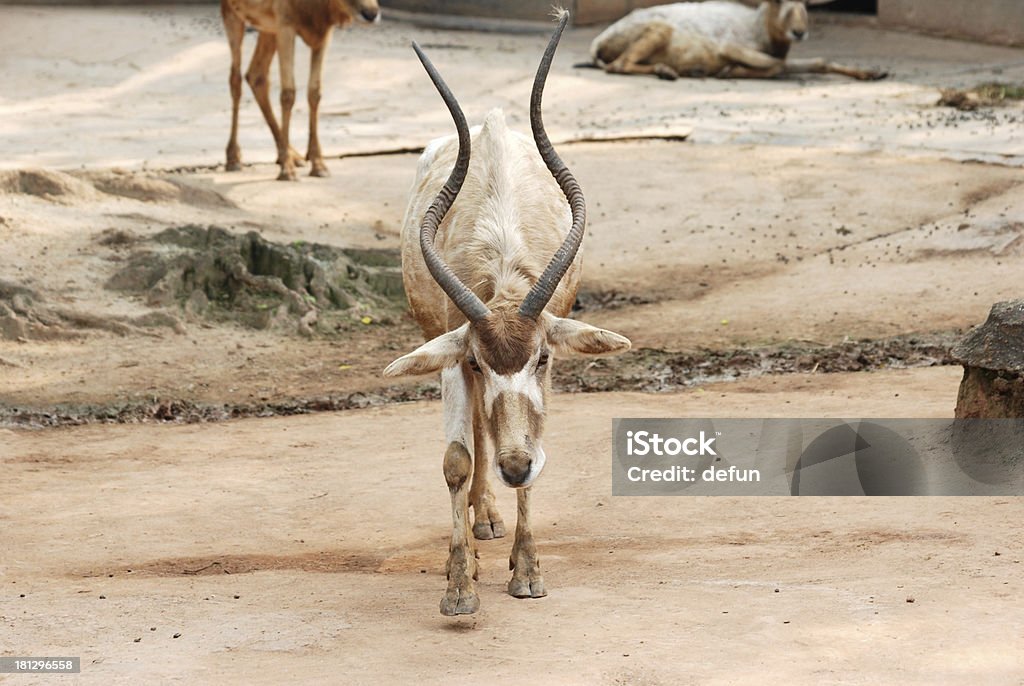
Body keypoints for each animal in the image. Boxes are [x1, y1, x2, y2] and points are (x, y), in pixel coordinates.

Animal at [222, 0, 382, 180]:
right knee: (236, 79)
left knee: (256, 75)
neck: (315, 10)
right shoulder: (285, 25)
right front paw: (287, 171)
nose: (371, 13)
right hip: (233, 14)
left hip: (268, 28)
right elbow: (288, 94)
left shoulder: (323, 34)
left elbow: (314, 93)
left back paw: (293, 155)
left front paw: (318, 165)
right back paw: (234, 158)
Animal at [385, 10, 630, 614]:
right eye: (479, 361)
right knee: (475, 429)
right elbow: (456, 458)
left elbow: (536, 449)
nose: (513, 466)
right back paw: (483, 524)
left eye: (540, 359)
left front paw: (527, 571)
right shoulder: (454, 354)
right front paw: (459, 587)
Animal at [589, 0, 884, 81]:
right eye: (779, 2)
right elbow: (776, 66)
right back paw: (670, 71)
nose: (799, 32)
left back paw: (669, 70)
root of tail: (596, 45)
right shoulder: (727, 46)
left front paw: (873, 72)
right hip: (658, 29)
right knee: (619, 64)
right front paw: (730, 70)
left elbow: (820, 61)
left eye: (806, 4)